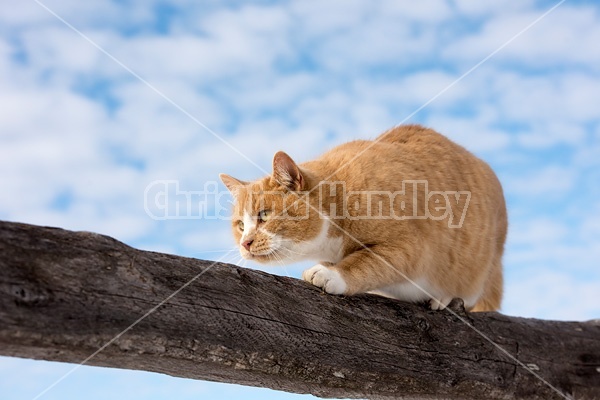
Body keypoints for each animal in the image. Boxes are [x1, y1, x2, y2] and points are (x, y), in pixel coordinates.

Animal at [220, 123, 506, 310]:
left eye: (264, 214)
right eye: (240, 225)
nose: (245, 243)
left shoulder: (410, 247)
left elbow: (365, 262)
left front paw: (331, 274)